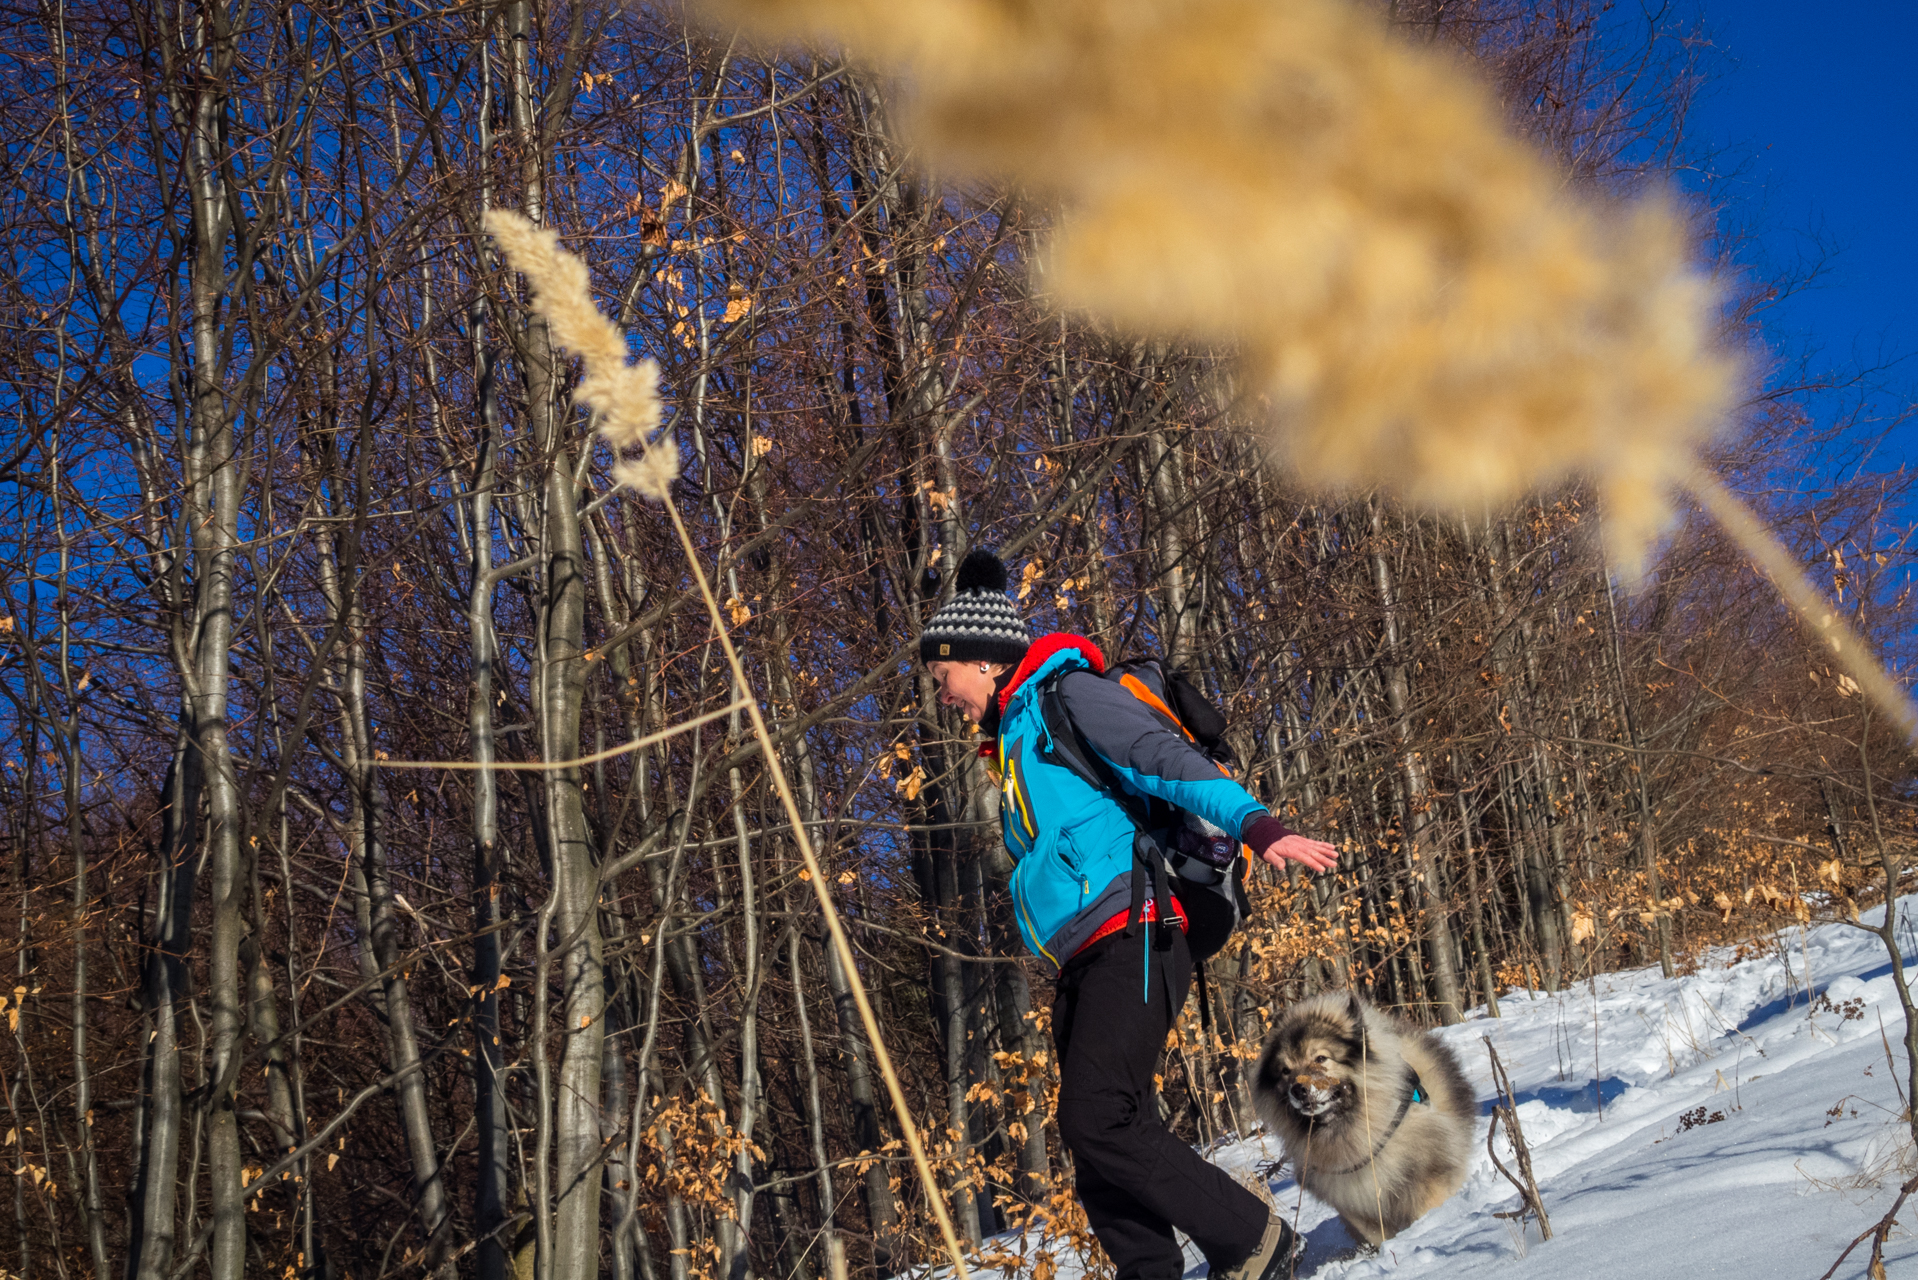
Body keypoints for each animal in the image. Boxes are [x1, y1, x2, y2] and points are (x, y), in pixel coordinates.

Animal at [1250, 997, 1473, 1243]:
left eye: (1321, 1058)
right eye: (1285, 1071)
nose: (1298, 1090)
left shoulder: (1425, 1172)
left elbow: (1427, 1206)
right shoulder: (1353, 1202)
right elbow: (1377, 1233)